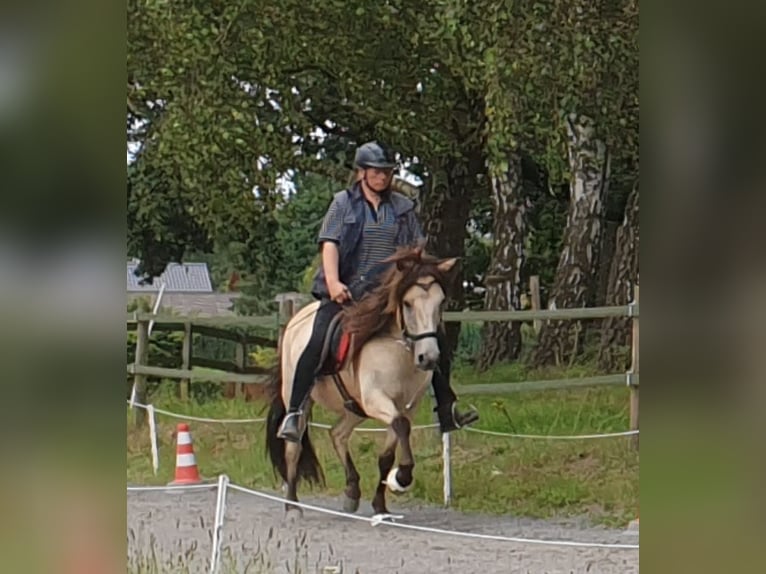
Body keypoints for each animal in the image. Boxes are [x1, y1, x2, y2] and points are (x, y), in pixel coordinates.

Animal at [266, 246, 456, 516]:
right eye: (407, 303)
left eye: (440, 303)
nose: (428, 357)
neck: (397, 351)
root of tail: (295, 319)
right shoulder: (377, 400)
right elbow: (400, 427)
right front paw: (402, 478)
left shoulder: (406, 407)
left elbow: (388, 453)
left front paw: (381, 505)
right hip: (298, 396)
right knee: (294, 445)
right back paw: (292, 506)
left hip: (354, 407)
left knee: (337, 434)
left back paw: (352, 492)